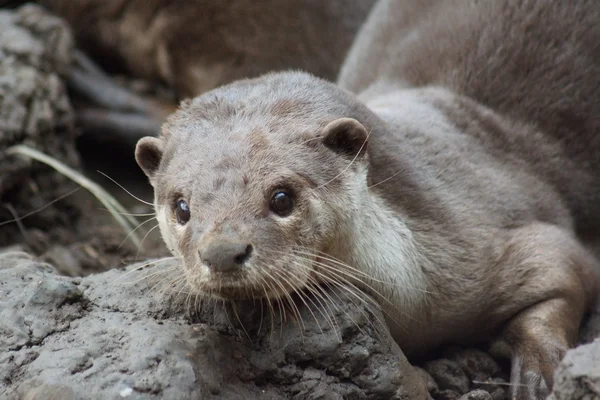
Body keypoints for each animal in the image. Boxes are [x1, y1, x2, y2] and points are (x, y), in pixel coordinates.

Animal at [136, 1, 600, 398]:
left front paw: (539, 372)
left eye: (282, 197)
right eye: (182, 207)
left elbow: (566, 272)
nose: (222, 252)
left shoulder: (496, 229)